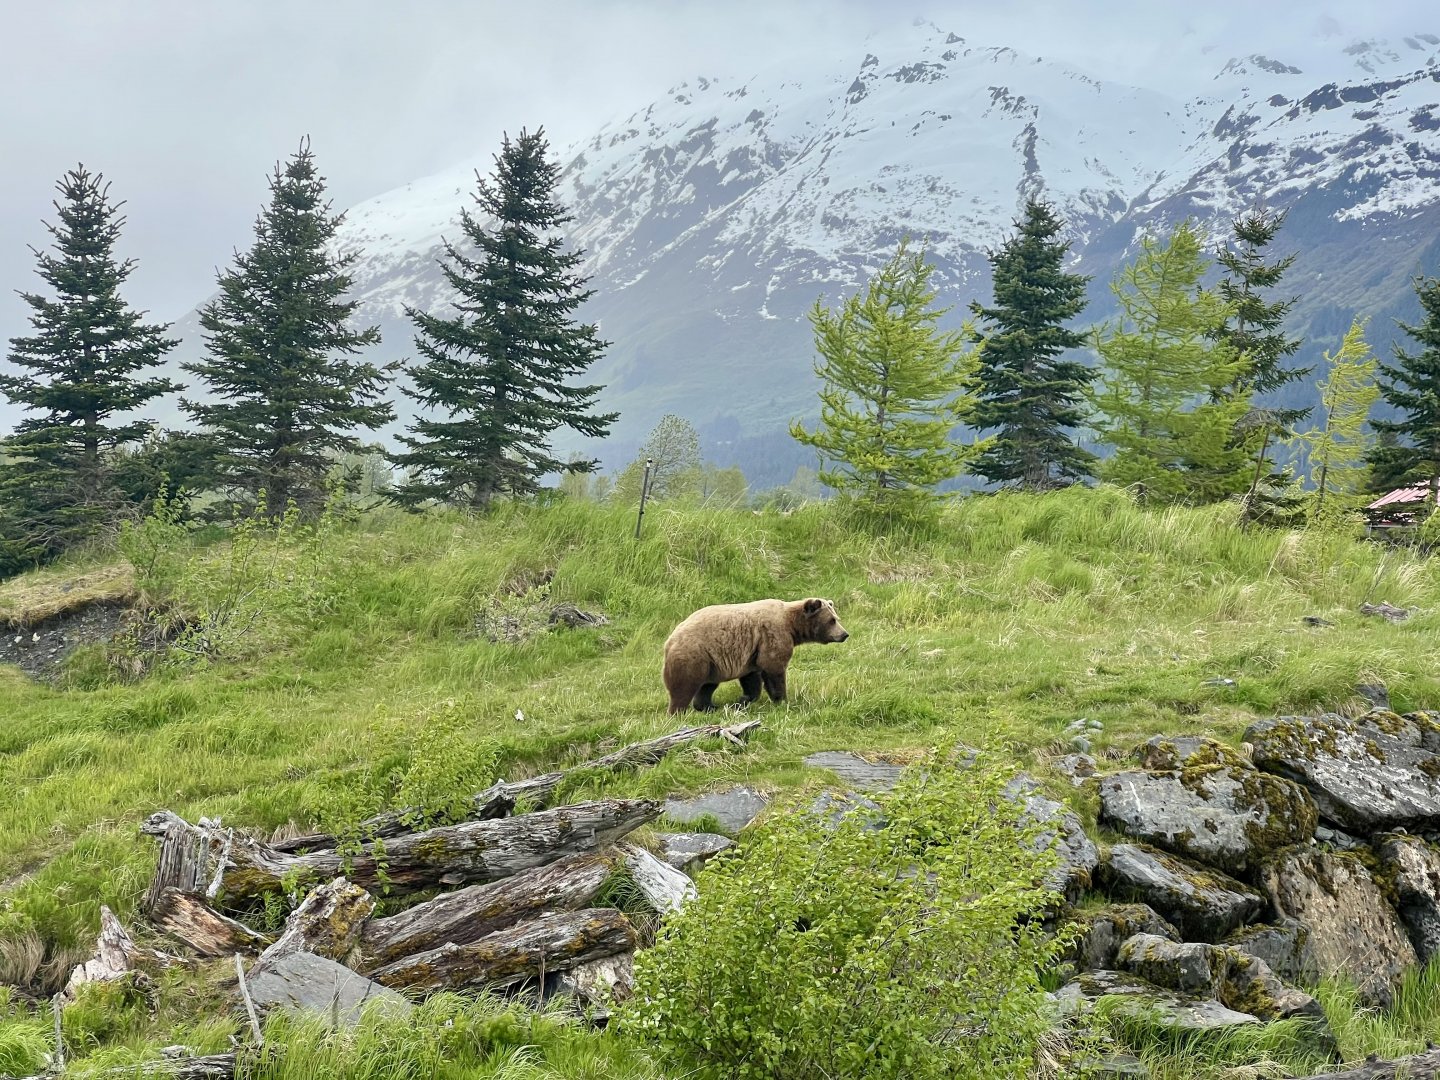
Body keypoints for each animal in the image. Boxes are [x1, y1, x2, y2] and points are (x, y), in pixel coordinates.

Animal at [662, 597, 848, 714]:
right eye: (831, 620)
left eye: (836, 618)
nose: (844, 634)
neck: (792, 626)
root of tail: (669, 641)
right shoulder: (773, 635)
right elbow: (774, 668)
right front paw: (782, 699)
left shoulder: (753, 651)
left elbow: (751, 678)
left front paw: (743, 699)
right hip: (694, 655)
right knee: (684, 687)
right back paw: (678, 712)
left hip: (711, 663)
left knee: (707, 686)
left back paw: (709, 706)